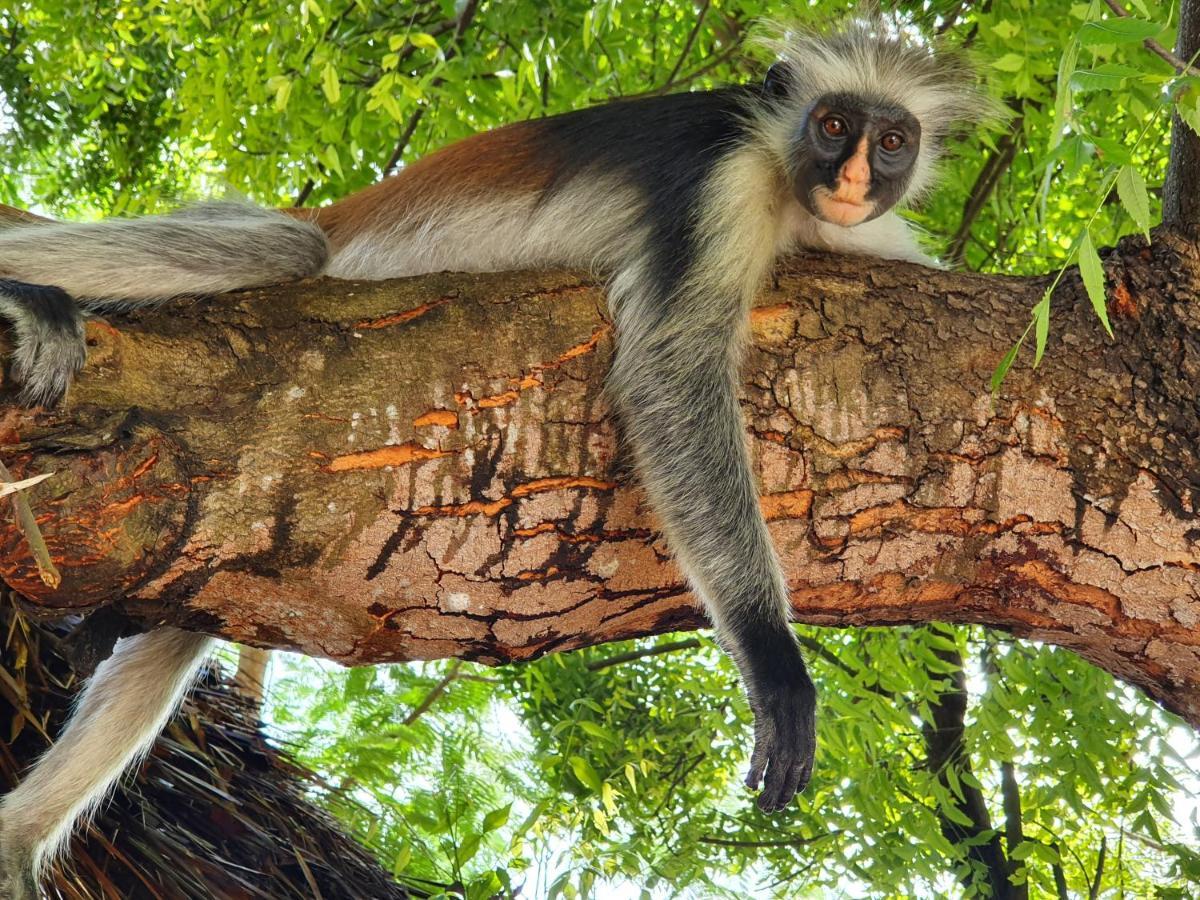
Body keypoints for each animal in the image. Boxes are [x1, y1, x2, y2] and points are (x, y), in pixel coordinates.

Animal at [0, 17, 988, 897]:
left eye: (891, 141)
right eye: (834, 126)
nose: (854, 176)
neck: (789, 187)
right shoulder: (725, 180)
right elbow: (669, 369)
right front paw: (772, 653)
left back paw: (19, 835)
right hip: (313, 252)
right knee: (281, 245)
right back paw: (27, 296)